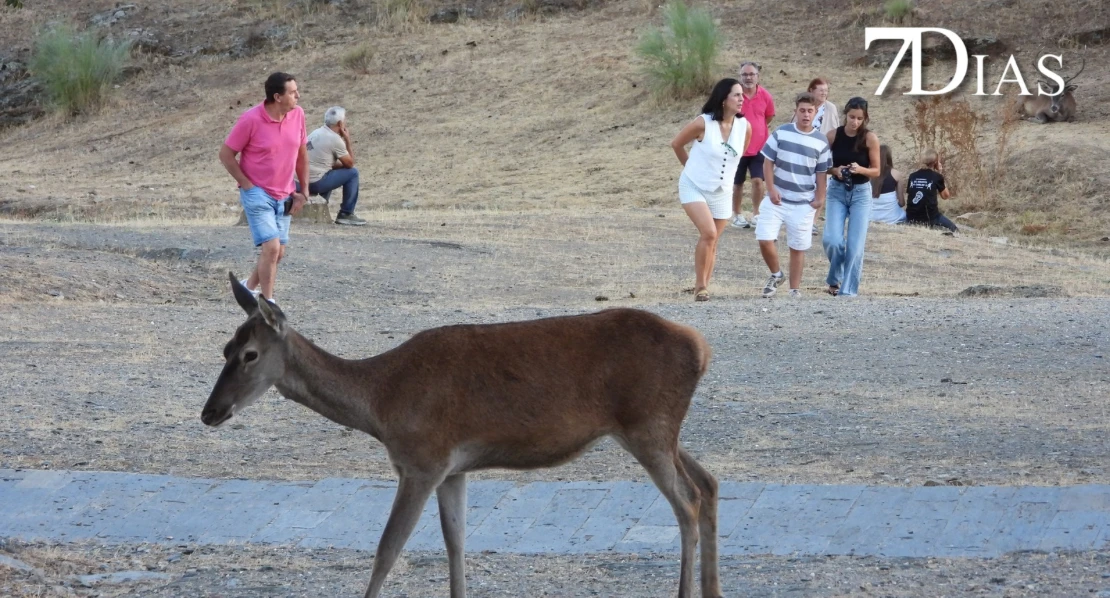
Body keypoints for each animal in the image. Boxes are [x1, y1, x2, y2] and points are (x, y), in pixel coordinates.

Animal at [201, 273, 722, 598]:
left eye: (249, 354)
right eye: (224, 346)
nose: (210, 412)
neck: (381, 404)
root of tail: (701, 347)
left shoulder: (422, 460)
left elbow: (387, 550)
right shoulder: (453, 469)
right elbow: (456, 542)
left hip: (648, 426)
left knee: (688, 501)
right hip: (658, 430)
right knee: (709, 482)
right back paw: (713, 588)